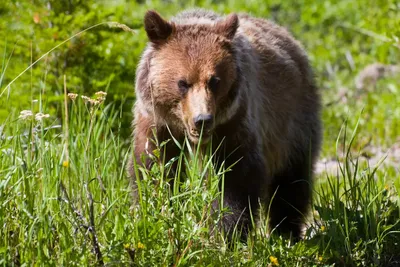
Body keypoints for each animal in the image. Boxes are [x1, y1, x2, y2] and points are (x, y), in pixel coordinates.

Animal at [128, 8, 322, 241]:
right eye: (183, 83)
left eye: (214, 80)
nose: (202, 120)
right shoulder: (157, 123)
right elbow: (155, 167)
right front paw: (156, 213)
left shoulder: (235, 121)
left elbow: (235, 177)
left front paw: (228, 232)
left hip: (291, 120)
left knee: (291, 179)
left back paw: (285, 232)